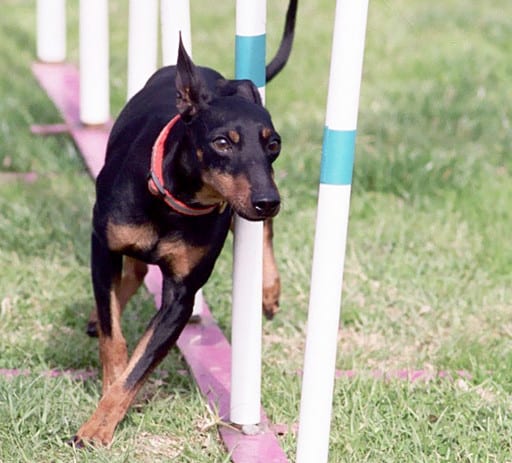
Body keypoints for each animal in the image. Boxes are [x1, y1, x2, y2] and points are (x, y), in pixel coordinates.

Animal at [71, 0, 296, 450]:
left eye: (274, 143)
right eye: (222, 142)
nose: (268, 202)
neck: (176, 203)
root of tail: (221, 80)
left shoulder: (181, 297)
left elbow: (138, 367)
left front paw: (99, 424)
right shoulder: (102, 247)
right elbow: (114, 341)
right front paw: (103, 405)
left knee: (260, 234)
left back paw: (268, 288)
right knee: (132, 272)